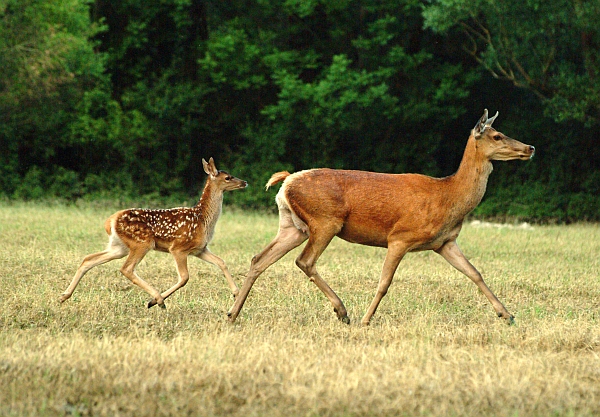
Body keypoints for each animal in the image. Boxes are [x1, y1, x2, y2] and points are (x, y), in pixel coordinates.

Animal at [59, 158, 247, 308]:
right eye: (228, 177)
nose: (244, 182)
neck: (203, 220)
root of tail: (111, 220)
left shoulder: (199, 249)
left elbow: (221, 262)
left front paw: (237, 293)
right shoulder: (178, 248)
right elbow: (184, 278)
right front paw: (153, 302)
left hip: (119, 247)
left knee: (88, 259)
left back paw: (63, 296)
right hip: (141, 243)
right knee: (126, 269)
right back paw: (157, 299)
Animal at [229, 110, 536, 324]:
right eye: (496, 136)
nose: (530, 148)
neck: (448, 196)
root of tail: (286, 183)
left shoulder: (444, 242)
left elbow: (475, 273)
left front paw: (507, 315)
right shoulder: (400, 236)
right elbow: (384, 283)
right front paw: (366, 320)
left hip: (293, 225)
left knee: (259, 259)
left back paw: (232, 313)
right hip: (325, 220)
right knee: (304, 261)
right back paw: (343, 311)